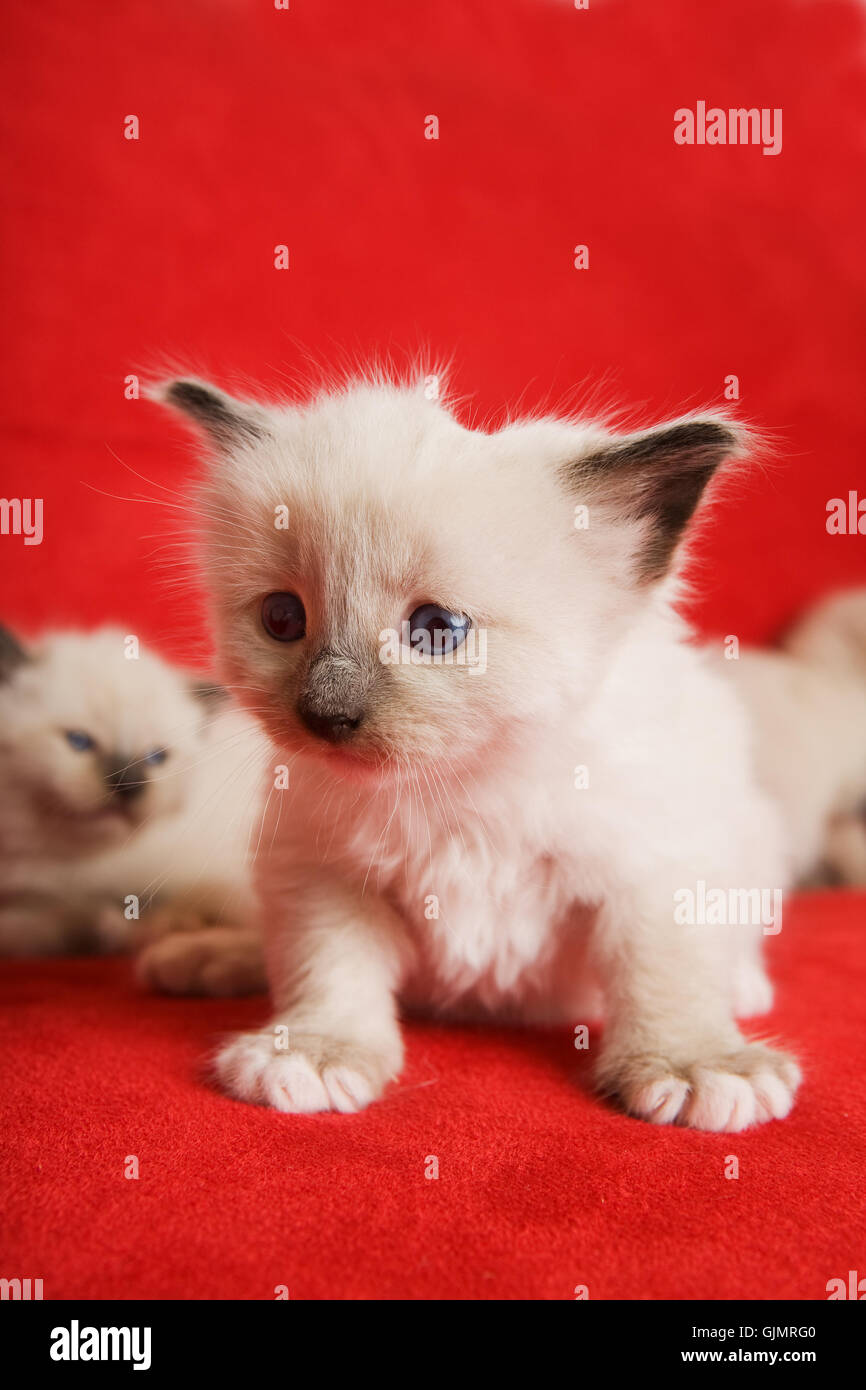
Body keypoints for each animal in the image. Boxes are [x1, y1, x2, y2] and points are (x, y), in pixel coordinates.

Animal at [150, 369, 861, 1128]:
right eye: (283, 618)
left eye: (437, 629)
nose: (324, 714)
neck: (464, 787)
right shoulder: (322, 875)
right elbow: (331, 972)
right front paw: (315, 1051)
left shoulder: (653, 870)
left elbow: (664, 974)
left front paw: (695, 1063)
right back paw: (212, 957)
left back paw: (745, 987)